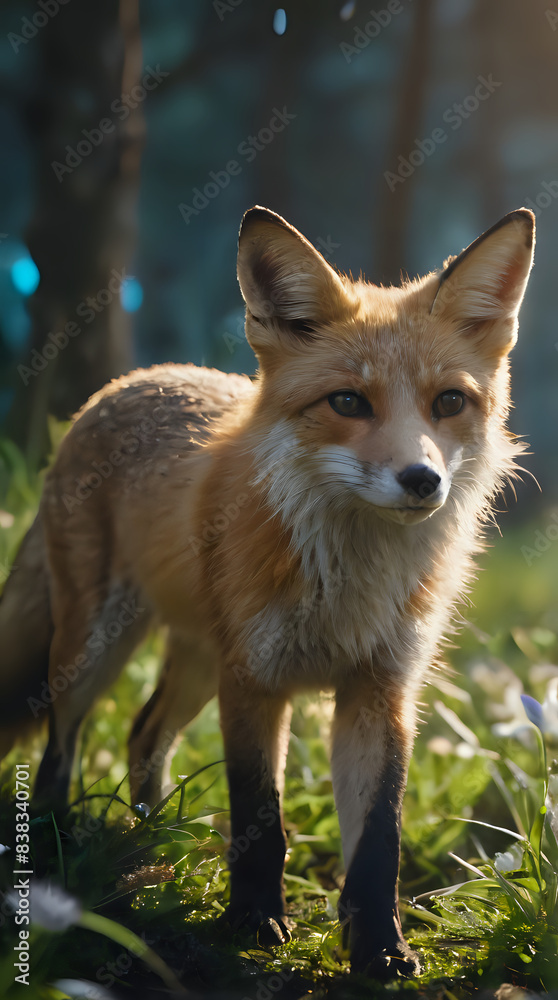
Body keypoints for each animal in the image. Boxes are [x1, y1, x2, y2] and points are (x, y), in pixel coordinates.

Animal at [0, 205, 535, 977]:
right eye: (348, 401)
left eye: (450, 402)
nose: (422, 480)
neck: (349, 581)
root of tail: (128, 382)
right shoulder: (254, 680)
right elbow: (261, 816)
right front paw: (252, 924)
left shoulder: (381, 690)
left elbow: (379, 839)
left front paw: (380, 950)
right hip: (94, 648)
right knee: (60, 745)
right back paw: (58, 845)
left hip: (198, 661)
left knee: (142, 734)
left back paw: (154, 852)